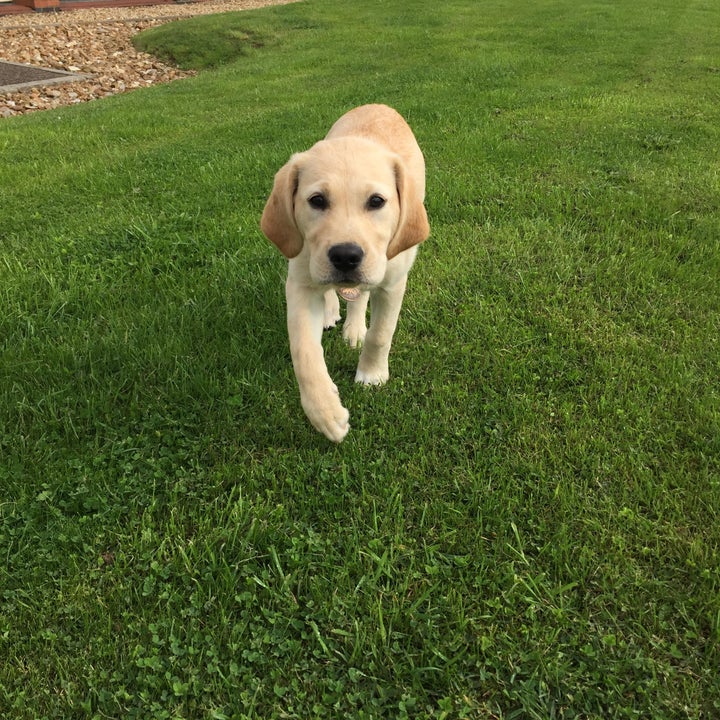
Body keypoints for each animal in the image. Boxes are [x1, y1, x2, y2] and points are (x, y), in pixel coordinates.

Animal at [260, 104, 428, 442]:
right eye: (317, 201)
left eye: (377, 201)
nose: (345, 256)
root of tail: (378, 105)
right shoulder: (299, 283)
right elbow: (304, 352)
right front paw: (325, 412)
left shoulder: (392, 283)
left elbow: (381, 333)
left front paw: (372, 374)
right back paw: (331, 311)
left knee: (360, 296)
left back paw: (354, 327)